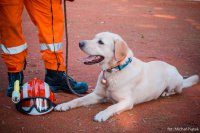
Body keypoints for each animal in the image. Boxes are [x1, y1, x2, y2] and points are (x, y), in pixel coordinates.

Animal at [54, 31, 198, 122]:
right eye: (94, 38)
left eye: (100, 42)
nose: (80, 43)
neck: (113, 71)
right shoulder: (97, 95)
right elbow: (77, 100)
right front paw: (64, 105)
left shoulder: (127, 101)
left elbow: (111, 106)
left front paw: (102, 114)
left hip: (173, 80)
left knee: (177, 91)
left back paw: (166, 93)